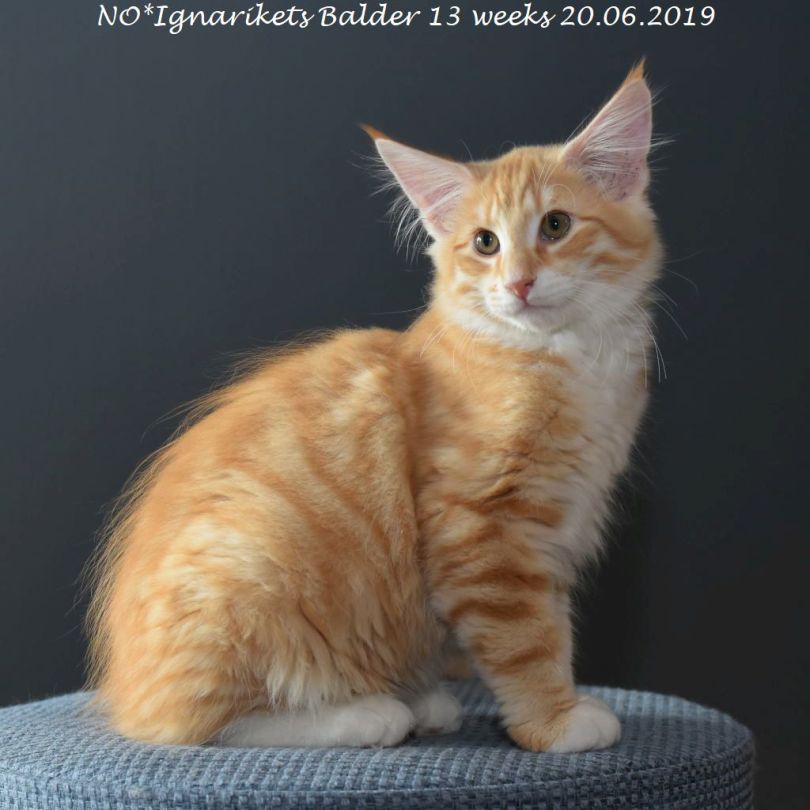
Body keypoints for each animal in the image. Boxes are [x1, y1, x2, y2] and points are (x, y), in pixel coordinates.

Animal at [86, 62, 661, 751]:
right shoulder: (481, 527)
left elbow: (554, 626)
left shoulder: (554, 532)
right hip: (248, 572)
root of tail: (124, 687)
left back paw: (423, 700)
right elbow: (526, 641)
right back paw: (370, 712)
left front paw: (559, 705)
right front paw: (555, 721)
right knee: (204, 724)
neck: (564, 357)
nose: (518, 283)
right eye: (486, 243)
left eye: (555, 226)